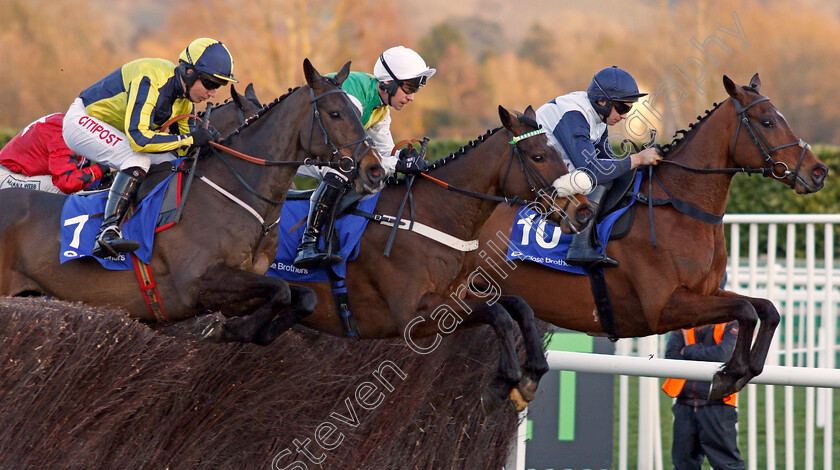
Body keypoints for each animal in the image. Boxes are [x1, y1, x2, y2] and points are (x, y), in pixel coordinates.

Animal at [0, 59, 384, 338]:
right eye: (335, 114)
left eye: (357, 113)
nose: (374, 170)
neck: (233, 191)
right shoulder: (196, 284)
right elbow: (281, 290)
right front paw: (230, 332)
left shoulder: (240, 283)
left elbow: (301, 296)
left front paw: (251, 331)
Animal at [207, 104, 592, 410]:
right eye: (539, 156)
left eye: (558, 152)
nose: (584, 211)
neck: (433, 214)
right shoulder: (413, 315)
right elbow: (498, 314)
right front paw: (504, 383)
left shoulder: (457, 295)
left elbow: (518, 306)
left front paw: (530, 377)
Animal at [462, 73, 824, 400]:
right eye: (767, 122)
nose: (819, 171)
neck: (679, 206)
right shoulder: (663, 307)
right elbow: (746, 310)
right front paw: (730, 374)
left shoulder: (706, 291)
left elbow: (767, 309)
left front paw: (744, 370)